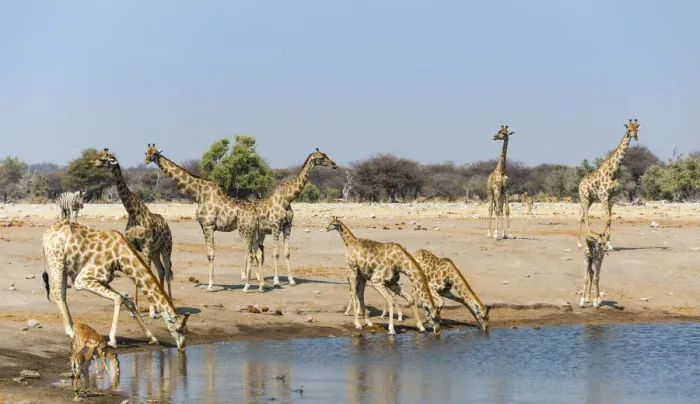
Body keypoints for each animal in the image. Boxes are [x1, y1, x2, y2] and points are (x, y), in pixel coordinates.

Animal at [42, 219, 189, 350]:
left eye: (186, 330)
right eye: (178, 329)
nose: (182, 347)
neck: (121, 257)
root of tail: (46, 235)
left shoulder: (103, 280)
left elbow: (127, 299)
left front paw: (152, 337)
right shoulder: (82, 279)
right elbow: (118, 298)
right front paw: (112, 341)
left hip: (64, 268)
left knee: (62, 294)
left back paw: (73, 329)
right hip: (56, 262)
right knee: (57, 292)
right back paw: (71, 332)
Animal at [89, 148, 174, 318]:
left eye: (102, 159)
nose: (88, 163)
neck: (133, 212)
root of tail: (166, 224)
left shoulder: (146, 246)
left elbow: (148, 274)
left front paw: (152, 312)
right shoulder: (133, 245)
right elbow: (137, 276)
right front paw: (135, 310)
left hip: (166, 247)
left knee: (167, 271)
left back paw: (169, 305)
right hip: (156, 251)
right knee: (161, 271)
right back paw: (161, 305)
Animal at [144, 144, 263, 292]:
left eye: (154, 153)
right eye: (146, 152)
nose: (146, 161)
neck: (199, 194)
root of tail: (256, 214)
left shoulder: (208, 225)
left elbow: (210, 254)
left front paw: (210, 285)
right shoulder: (203, 226)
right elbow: (209, 253)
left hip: (245, 231)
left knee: (250, 254)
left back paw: (246, 286)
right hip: (254, 232)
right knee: (257, 253)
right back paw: (261, 286)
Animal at [247, 148, 337, 287]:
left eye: (325, 155)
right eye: (321, 157)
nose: (334, 165)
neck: (287, 199)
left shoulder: (287, 226)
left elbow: (287, 253)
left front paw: (291, 280)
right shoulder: (276, 226)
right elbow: (276, 253)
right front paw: (276, 280)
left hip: (260, 233)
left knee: (257, 250)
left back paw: (258, 277)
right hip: (252, 231)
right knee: (250, 251)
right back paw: (244, 276)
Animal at [577, 119, 640, 250]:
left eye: (637, 129)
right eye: (629, 129)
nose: (635, 137)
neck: (612, 173)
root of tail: (580, 184)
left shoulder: (611, 199)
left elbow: (610, 220)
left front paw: (609, 244)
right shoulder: (603, 197)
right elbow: (607, 219)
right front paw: (602, 240)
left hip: (589, 199)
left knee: (581, 216)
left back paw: (580, 243)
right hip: (584, 197)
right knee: (585, 216)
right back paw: (590, 238)